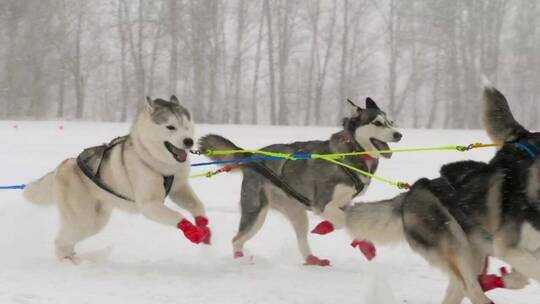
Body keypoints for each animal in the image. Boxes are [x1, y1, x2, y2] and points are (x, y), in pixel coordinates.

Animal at [25, 96, 211, 262]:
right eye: (170, 127)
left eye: (186, 126)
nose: (189, 141)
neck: (157, 161)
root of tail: (64, 164)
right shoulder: (149, 205)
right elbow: (177, 216)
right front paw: (193, 232)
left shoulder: (179, 189)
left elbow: (197, 205)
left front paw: (203, 227)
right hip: (84, 219)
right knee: (61, 241)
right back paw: (67, 262)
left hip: (97, 220)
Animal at [198, 98, 400, 264]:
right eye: (377, 123)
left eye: (390, 122)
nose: (399, 134)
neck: (350, 153)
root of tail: (252, 156)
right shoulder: (323, 204)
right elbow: (345, 221)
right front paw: (326, 227)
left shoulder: (343, 203)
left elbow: (347, 221)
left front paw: (358, 241)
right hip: (256, 212)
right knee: (236, 240)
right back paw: (240, 260)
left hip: (297, 213)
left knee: (301, 239)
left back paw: (313, 260)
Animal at [346, 84, 540, 302]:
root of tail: (414, 189)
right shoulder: (508, 246)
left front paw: (507, 278)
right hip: (453, 241)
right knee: (471, 288)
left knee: (461, 288)